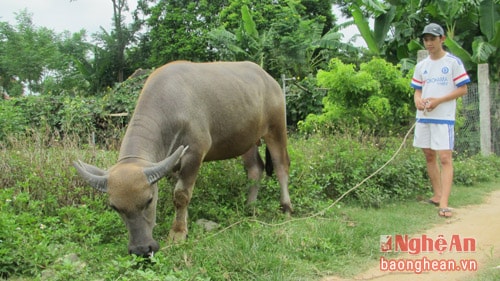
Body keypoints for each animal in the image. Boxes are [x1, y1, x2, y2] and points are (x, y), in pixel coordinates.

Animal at [74, 61, 292, 256]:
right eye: (115, 207)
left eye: (149, 200)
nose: (141, 249)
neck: (171, 106)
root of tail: (269, 79)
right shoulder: (171, 164)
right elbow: (177, 192)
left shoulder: (194, 154)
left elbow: (181, 195)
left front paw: (177, 233)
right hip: (246, 140)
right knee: (255, 169)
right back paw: (250, 207)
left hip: (276, 128)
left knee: (281, 166)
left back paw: (286, 207)